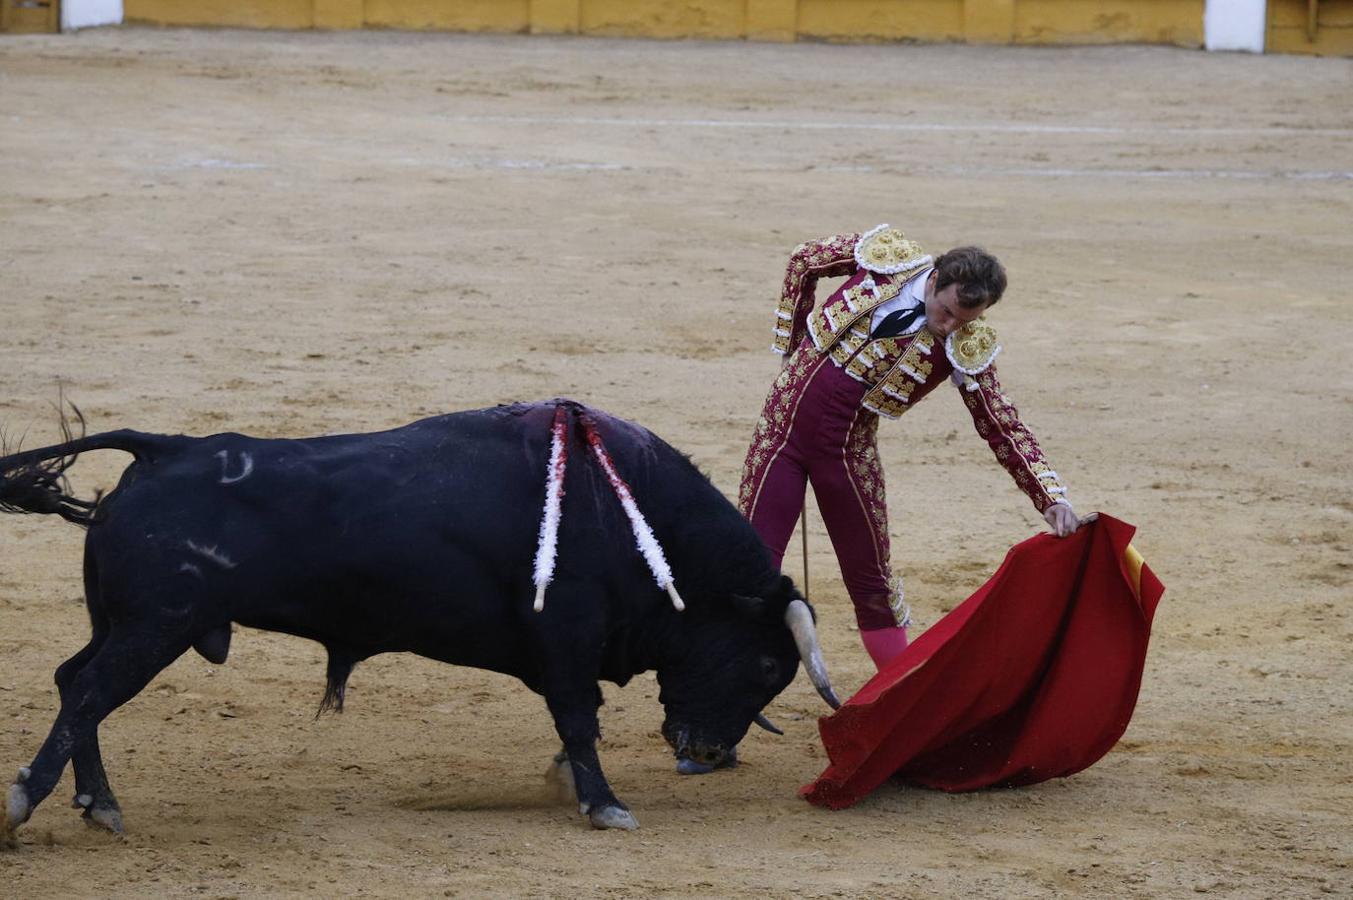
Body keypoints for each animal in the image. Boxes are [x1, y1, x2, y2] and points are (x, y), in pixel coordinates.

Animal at [0, 400, 838, 833]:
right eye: (766, 662)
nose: (707, 752)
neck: (629, 515)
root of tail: (164, 449)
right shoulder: (566, 640)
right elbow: (578, 718)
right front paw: (603, 803)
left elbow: (577, 725)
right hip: (155, 628)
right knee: (89, 694)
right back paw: (27, 804)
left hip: (121, 625)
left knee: (74, 681)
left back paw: (99, 803)